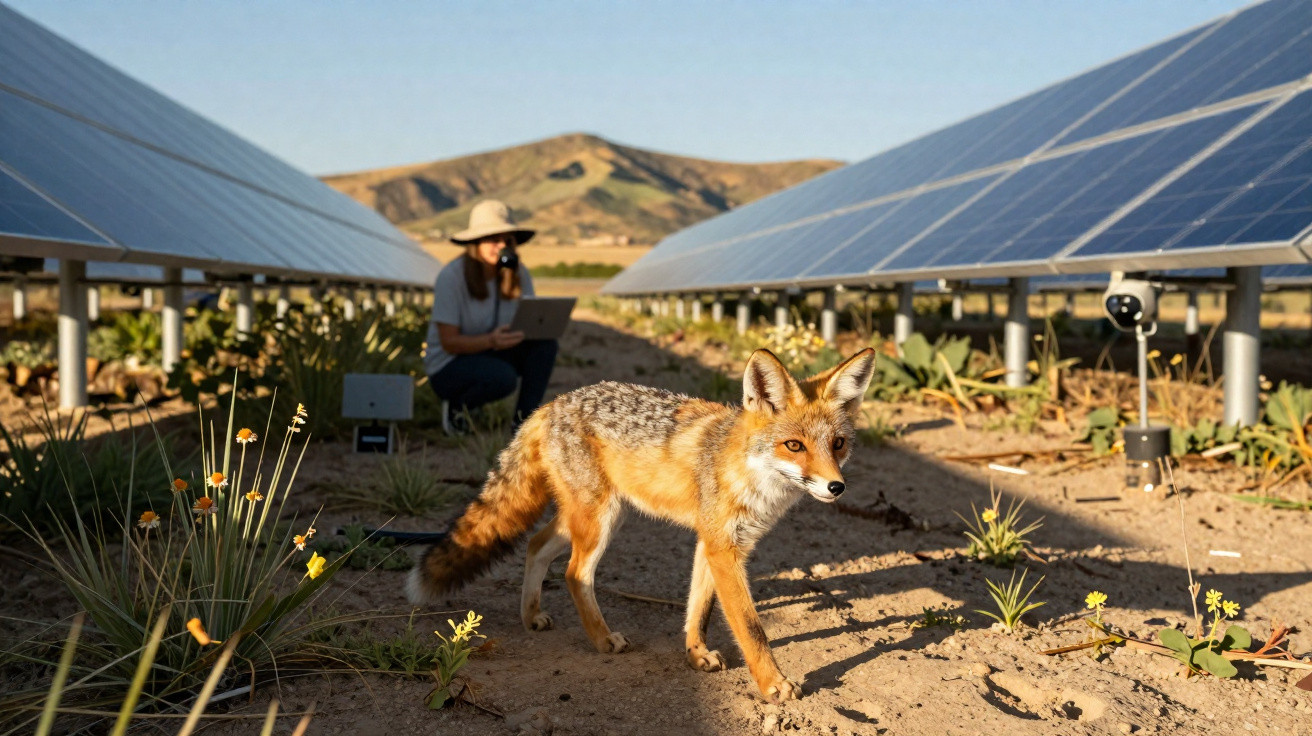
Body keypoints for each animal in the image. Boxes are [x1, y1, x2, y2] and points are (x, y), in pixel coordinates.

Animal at [406, 347, 876, 703]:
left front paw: (695, 655)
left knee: (536, 544)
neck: (747, 472)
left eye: (838, 444)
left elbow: (698, 610)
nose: (836, 487)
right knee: (575, 573)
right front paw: (773, 684)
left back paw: (531, 615)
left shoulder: (714, 544)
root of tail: (553, 402)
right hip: (600, 520)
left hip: (590, 516)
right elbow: (751, 629)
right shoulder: (724, 550)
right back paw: (601, 640)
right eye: (794, 446)